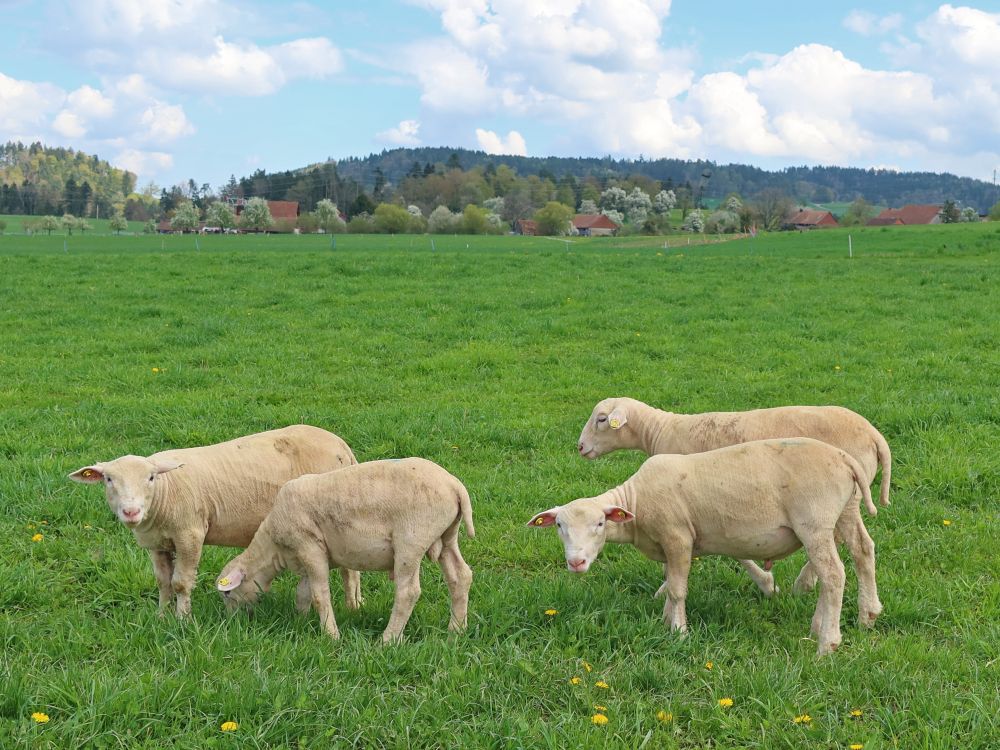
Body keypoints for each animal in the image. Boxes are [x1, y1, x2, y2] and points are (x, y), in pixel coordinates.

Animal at [69, 424, 361, 618]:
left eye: (151, 478)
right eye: (108, 479)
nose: (131, 512)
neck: (166, 490)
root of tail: (342, 446)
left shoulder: (190, 534)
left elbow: (180, 582)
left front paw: (182, 620)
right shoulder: (156, 544)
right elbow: (163, 582)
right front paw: (161, 616)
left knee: (350, 570)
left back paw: (353, 606)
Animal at [216, 457, 474, 643]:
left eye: (227, 594)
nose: (231, 622)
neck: (274, 549)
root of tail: (455, 486)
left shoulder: (309, 546)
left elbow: (320, 595)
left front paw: (331, 636)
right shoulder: (309, 556)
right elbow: (304, 592)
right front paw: (300, 621)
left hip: (412, 539)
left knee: (408, 592)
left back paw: (388, 640)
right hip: (446, 535)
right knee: (460, 576)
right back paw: (456, 630)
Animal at [530, 437, 879, 656]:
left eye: (600, 524)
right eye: (559, 526)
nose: (576, 563)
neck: (637, 502)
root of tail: (844, 458)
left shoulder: (677, 536)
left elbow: (677, 589)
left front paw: (679, 633)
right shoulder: (669, 544)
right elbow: (671, 582)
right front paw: (666, 622)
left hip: (815, 522)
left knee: (833, 575)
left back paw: (827, 643)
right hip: (845, 512)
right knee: (862, 552)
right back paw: (864, 617)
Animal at [577, 397, 890, 597]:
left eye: (602, 419)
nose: (580, 446)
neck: (660, 430)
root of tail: (876, 436)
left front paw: (766, 584)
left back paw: (804, 584)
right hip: (848, 500)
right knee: (859, 545)